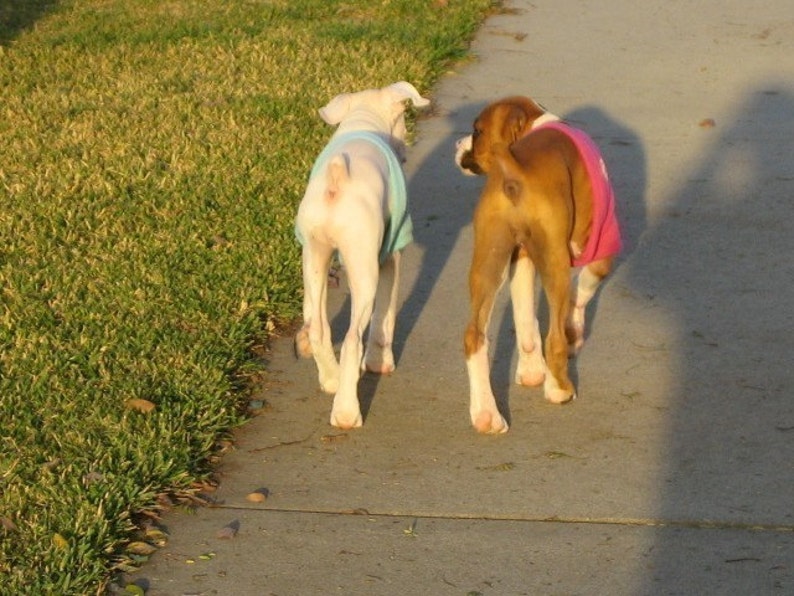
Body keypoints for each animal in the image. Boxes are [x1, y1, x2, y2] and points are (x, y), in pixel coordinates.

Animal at [292, 82, 426, 428]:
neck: (363, 123)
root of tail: (337, 181)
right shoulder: (390, 254)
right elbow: (385, 314)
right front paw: (380, 362)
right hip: (365, 269)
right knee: (353, 338)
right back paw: (346, 412)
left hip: (315, 255)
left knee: (318, 327)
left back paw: (332, 380)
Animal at [452, 96, 620, 434]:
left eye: (477, 131)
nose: (457, 144)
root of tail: (514, 168)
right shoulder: (601, 245)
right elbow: (584, 288)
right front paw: (574, 331)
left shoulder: (523, 256)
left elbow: (525, 317)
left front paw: (530, 371)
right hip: (554, 263)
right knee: (554, 336)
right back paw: (559, 389)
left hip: (489, 259)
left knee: (475, 335)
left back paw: (486, 415)